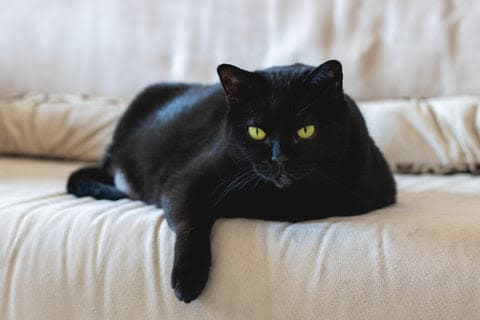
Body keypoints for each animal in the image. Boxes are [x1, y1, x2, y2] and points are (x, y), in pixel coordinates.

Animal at [68, 60, 398, 302]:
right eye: (257, 132)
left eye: (306, 130)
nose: (279, 158)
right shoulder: (184, 183)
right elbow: (192, 222)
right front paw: (188, 278)